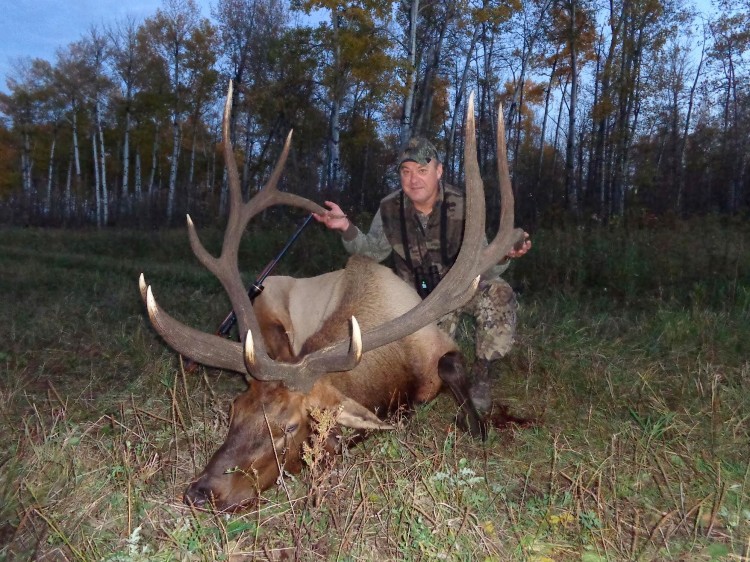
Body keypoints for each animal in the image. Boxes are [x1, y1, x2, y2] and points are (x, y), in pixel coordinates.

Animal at [138, 82, 525, 512]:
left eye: (289, 425)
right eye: (234, 408)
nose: (200, 491)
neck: (395, 373)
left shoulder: (439, 348)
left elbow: (454, 370)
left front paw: (485, 420)